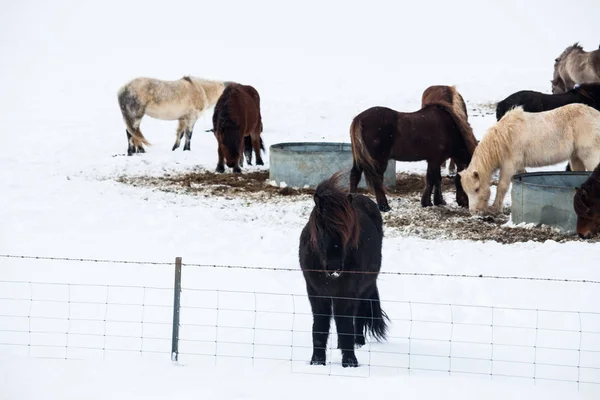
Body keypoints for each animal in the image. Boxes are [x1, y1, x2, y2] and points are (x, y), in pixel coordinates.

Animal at [298, 172, 390, 368]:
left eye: (348, 228)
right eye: (320, 227)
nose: (333, 267)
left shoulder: (346, 293)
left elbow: (345, 324)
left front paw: (350, 362)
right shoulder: (316, 293)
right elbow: (320, 326)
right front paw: (317, 361)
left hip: (364, 290)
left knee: (358, 315)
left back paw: (358, 342)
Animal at [458, 104, 600, 216]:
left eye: (477, 189)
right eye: (466, 191)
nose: (474, 211)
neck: (504, 138)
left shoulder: (509, 164)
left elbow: (502, 186)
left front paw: (495, 208)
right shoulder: (519, 164)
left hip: (590, 155)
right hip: (576, 156)